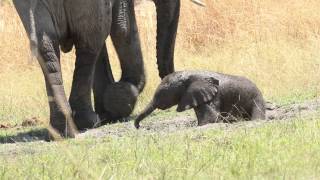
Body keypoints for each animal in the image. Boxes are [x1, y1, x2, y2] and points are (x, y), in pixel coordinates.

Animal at [13, 0, 201, 137]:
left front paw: (110, 109)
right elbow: (122, 28)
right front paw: (118, 101)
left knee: (47, 48)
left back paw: (62, 130)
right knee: (90, 46)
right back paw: (88, 122)